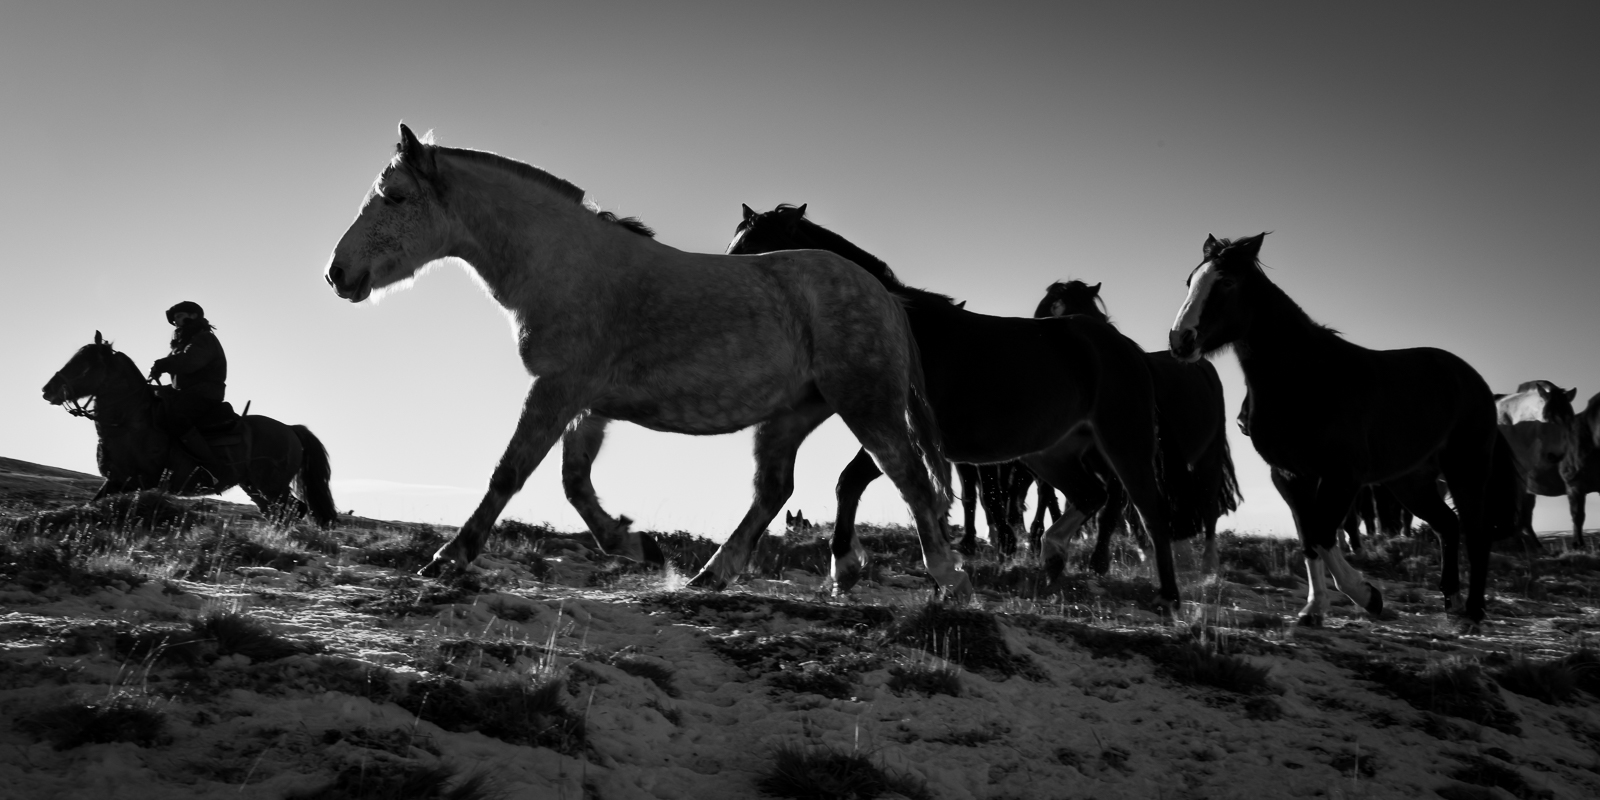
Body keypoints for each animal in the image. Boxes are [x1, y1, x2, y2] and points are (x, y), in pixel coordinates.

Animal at [41, 333, 338, 525]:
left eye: (85, 364)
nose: (48, 390)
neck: (131, 422)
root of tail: (289, 429)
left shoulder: (140, 481)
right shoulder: (115, 481)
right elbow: (92, 503)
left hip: (272, 486)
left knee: (295, 510)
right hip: (256, 488)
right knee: (279, 513)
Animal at [324, 125, 963, 596]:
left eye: (395, 197)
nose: (337, 273)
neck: (563, 265)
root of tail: (883, 294)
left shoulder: (557, 390)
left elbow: (509, 473)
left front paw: (449, 556)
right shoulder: (586, 405)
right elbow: (574, 486)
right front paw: (638, 544)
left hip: (866, 406)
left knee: (909, 479)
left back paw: (949, 583)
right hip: (792, 415)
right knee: (774, 490)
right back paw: (711, 575)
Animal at [727, 204, 1186, 613]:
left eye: (756, 249)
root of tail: (1126, 348)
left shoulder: (901, 434)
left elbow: (852, 483)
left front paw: (847, 569)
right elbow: (865, 488)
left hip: (1124, 442)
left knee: (1147, 509)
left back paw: (1166, 597)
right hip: (1051, 453)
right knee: (1091, 494)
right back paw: (1052, 560)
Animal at [1169, 233, 1521, 626]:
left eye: (1228, 282)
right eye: (1190, 282)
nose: (1180, 340)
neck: (1306, 378)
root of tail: (1474, 381)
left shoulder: (1343, 476)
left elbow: (1323, 533)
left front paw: (1367, 596)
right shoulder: (1290, 476)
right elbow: (1309, 538)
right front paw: (1314, 608)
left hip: (1466, 469)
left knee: (1476, 532)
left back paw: (1473, 612)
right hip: (1410, 480)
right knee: (1447, 524)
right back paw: (1452, 603)